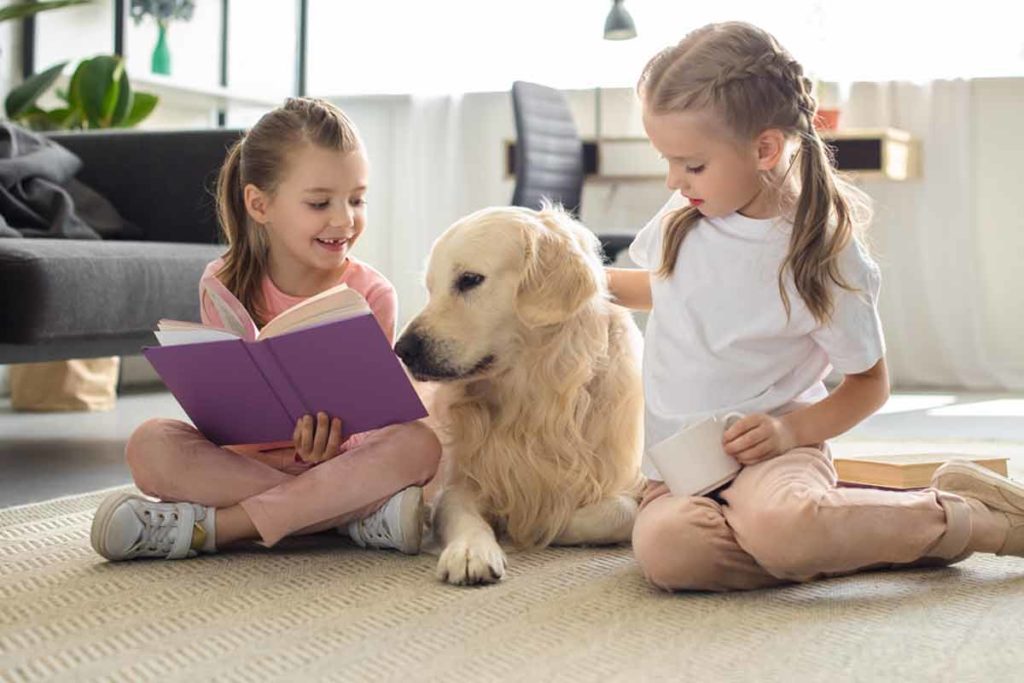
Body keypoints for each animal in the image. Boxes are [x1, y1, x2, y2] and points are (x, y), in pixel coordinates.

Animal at [395, 205, 643, 585]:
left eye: (469, 279)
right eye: (430, 288)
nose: (401, 350)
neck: (530, 396)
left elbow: (621, 511)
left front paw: (539, 525)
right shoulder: (460, 484)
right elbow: (460, 513)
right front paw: (472, 551)